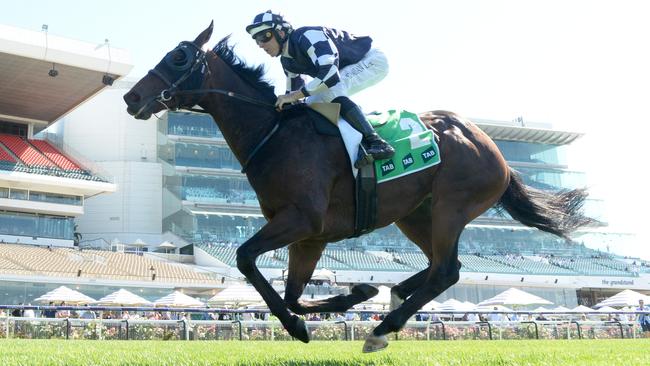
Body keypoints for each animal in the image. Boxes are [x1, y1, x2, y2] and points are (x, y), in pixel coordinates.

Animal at [121, 22, 592, 352]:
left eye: (179, 56)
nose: (131, 98)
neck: (275, 133)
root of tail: (490, 145)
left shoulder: (301, 221)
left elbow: (246, 259)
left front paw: (301, 325)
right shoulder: (309, 236)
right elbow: (293, 294)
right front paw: (353, 294)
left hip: (450, 206)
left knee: (447, 270)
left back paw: (383, 328)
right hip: (415, 215)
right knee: (440, 268)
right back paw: (392, 295)